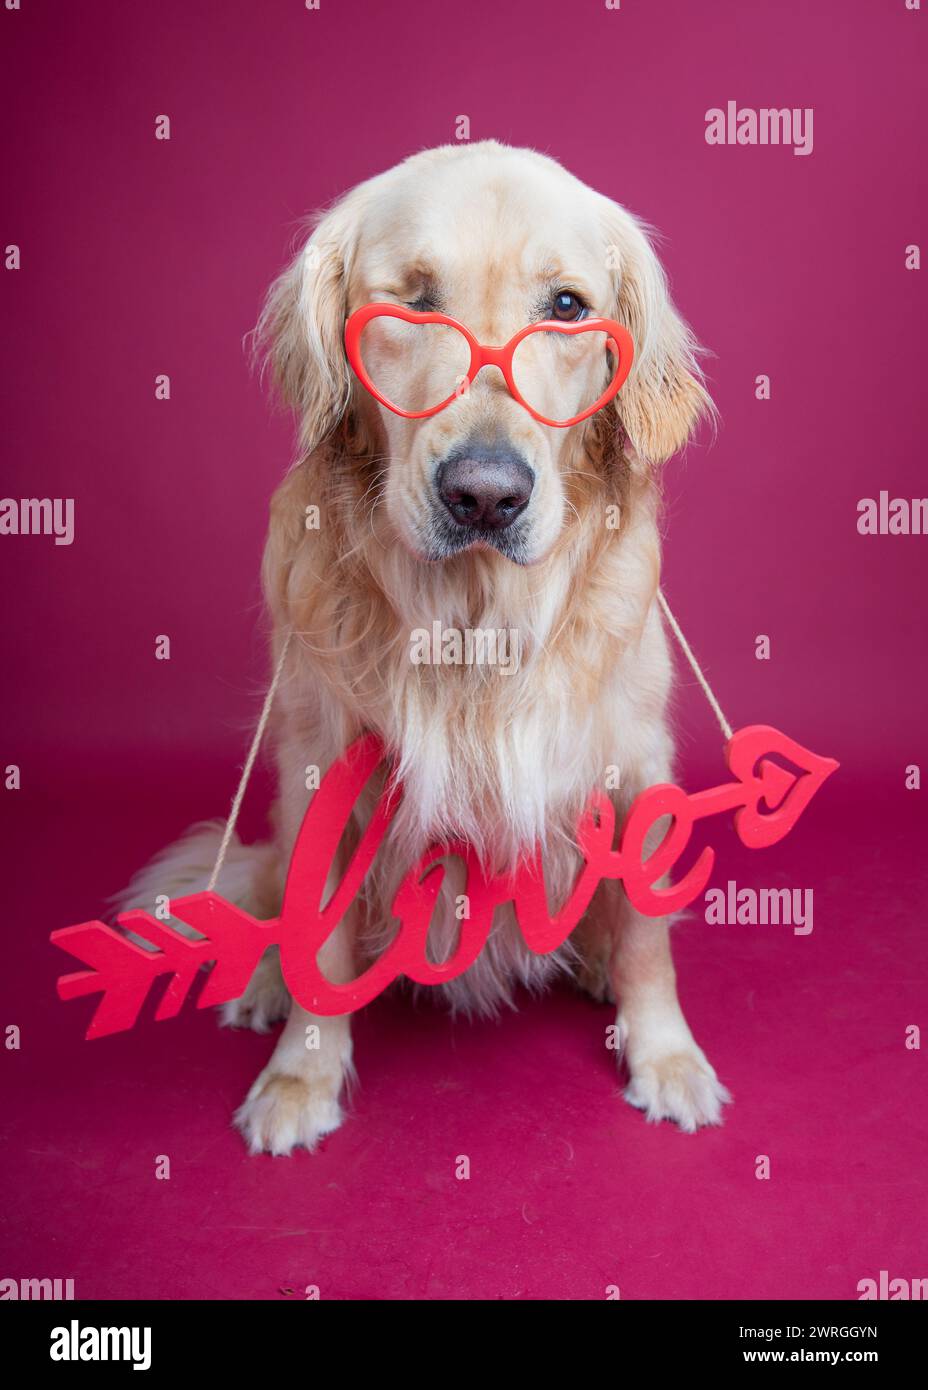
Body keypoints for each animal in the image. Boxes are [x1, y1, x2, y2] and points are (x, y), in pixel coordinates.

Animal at [119, 141, 727, 1156]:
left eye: (568, 306)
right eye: (411, 302)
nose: (484, 494)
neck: (473, 619)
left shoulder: (635, 760)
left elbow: (650, 940)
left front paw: (666, 1057)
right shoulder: (321, 767)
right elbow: (318, 941)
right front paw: (300, 1077)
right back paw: (264, 987)